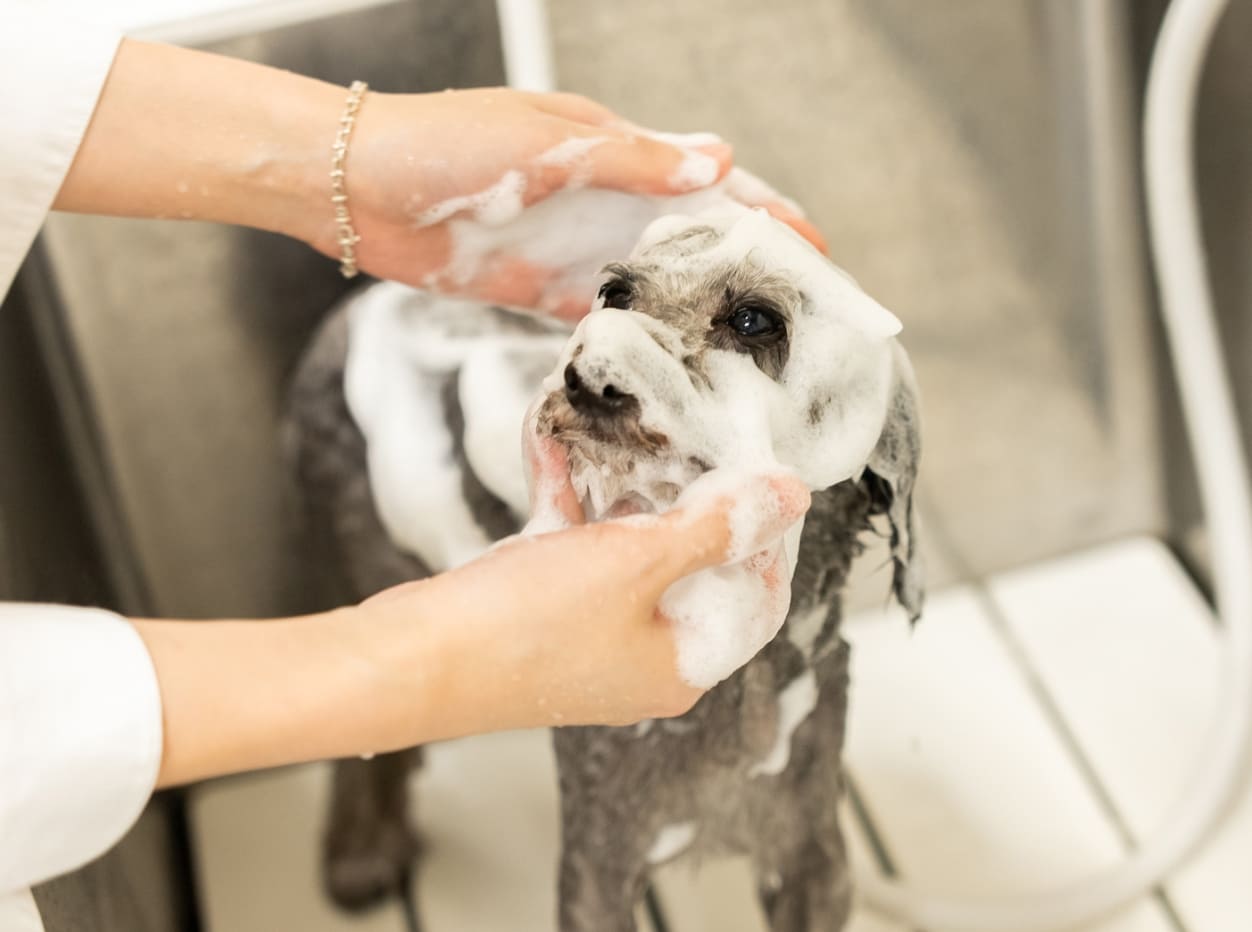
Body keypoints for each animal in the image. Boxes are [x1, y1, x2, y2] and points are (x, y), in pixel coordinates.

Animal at [287, 205, 926, 932]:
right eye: (616, 295)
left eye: (753, 320)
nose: (588, 379)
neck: (739, 685)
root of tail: (368, 299)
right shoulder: (601, 856)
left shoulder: (811, 848)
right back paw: (363, 850)